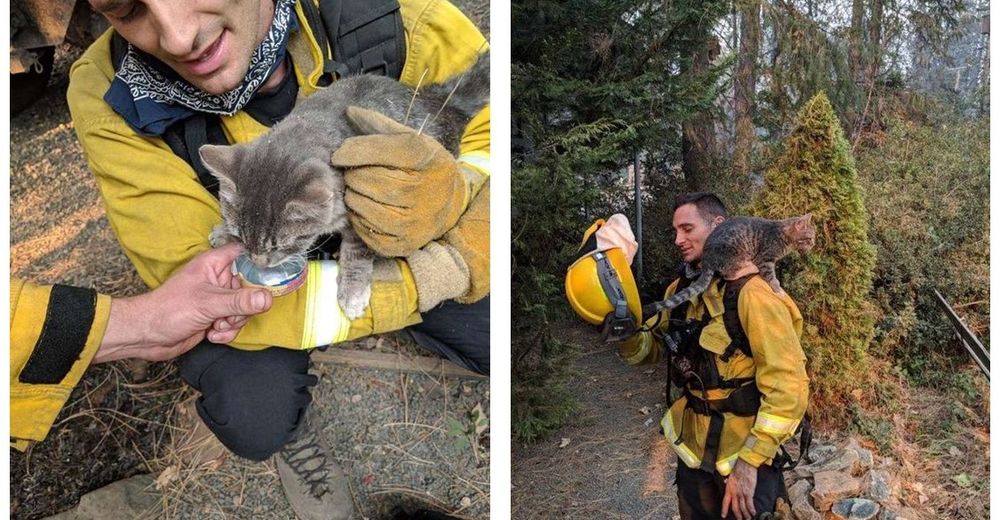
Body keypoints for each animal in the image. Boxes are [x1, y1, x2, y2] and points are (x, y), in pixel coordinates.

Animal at [198, 53, 488, 320]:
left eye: (279, 246)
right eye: (240, 236)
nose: (258, 261)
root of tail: (437, 101)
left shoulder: (365, 213)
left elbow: (357, 252)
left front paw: (353, 291)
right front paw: (223, 232)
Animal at [652, 214, 816, 312]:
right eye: (809, 238)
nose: (814, 244)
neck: (782, 234)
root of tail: (707, 260)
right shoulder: (765, 259)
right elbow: (771, 278)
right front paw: (778, 289)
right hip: (736, 254)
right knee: (729, 272)